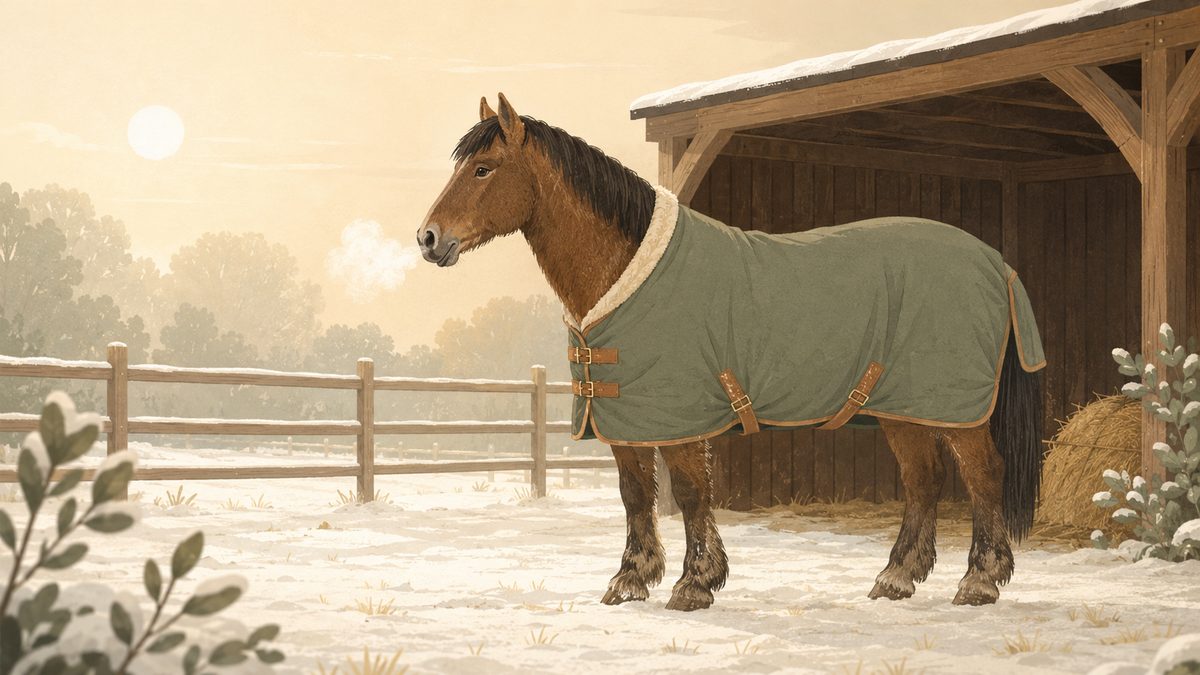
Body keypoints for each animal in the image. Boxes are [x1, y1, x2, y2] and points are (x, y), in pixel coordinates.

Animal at [417, 93, 1045, 611]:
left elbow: (691, 493)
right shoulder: (626, 416)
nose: (428, 238)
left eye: (483, 167)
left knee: (984, 476)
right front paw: (631, 580)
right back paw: (896, 578)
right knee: (923, 481)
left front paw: (695, 583)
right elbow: (635, 495)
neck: (627, 275)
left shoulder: (680, 416)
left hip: (956, 409)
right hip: (902, 407)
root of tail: (997, 262)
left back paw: (980, 581)